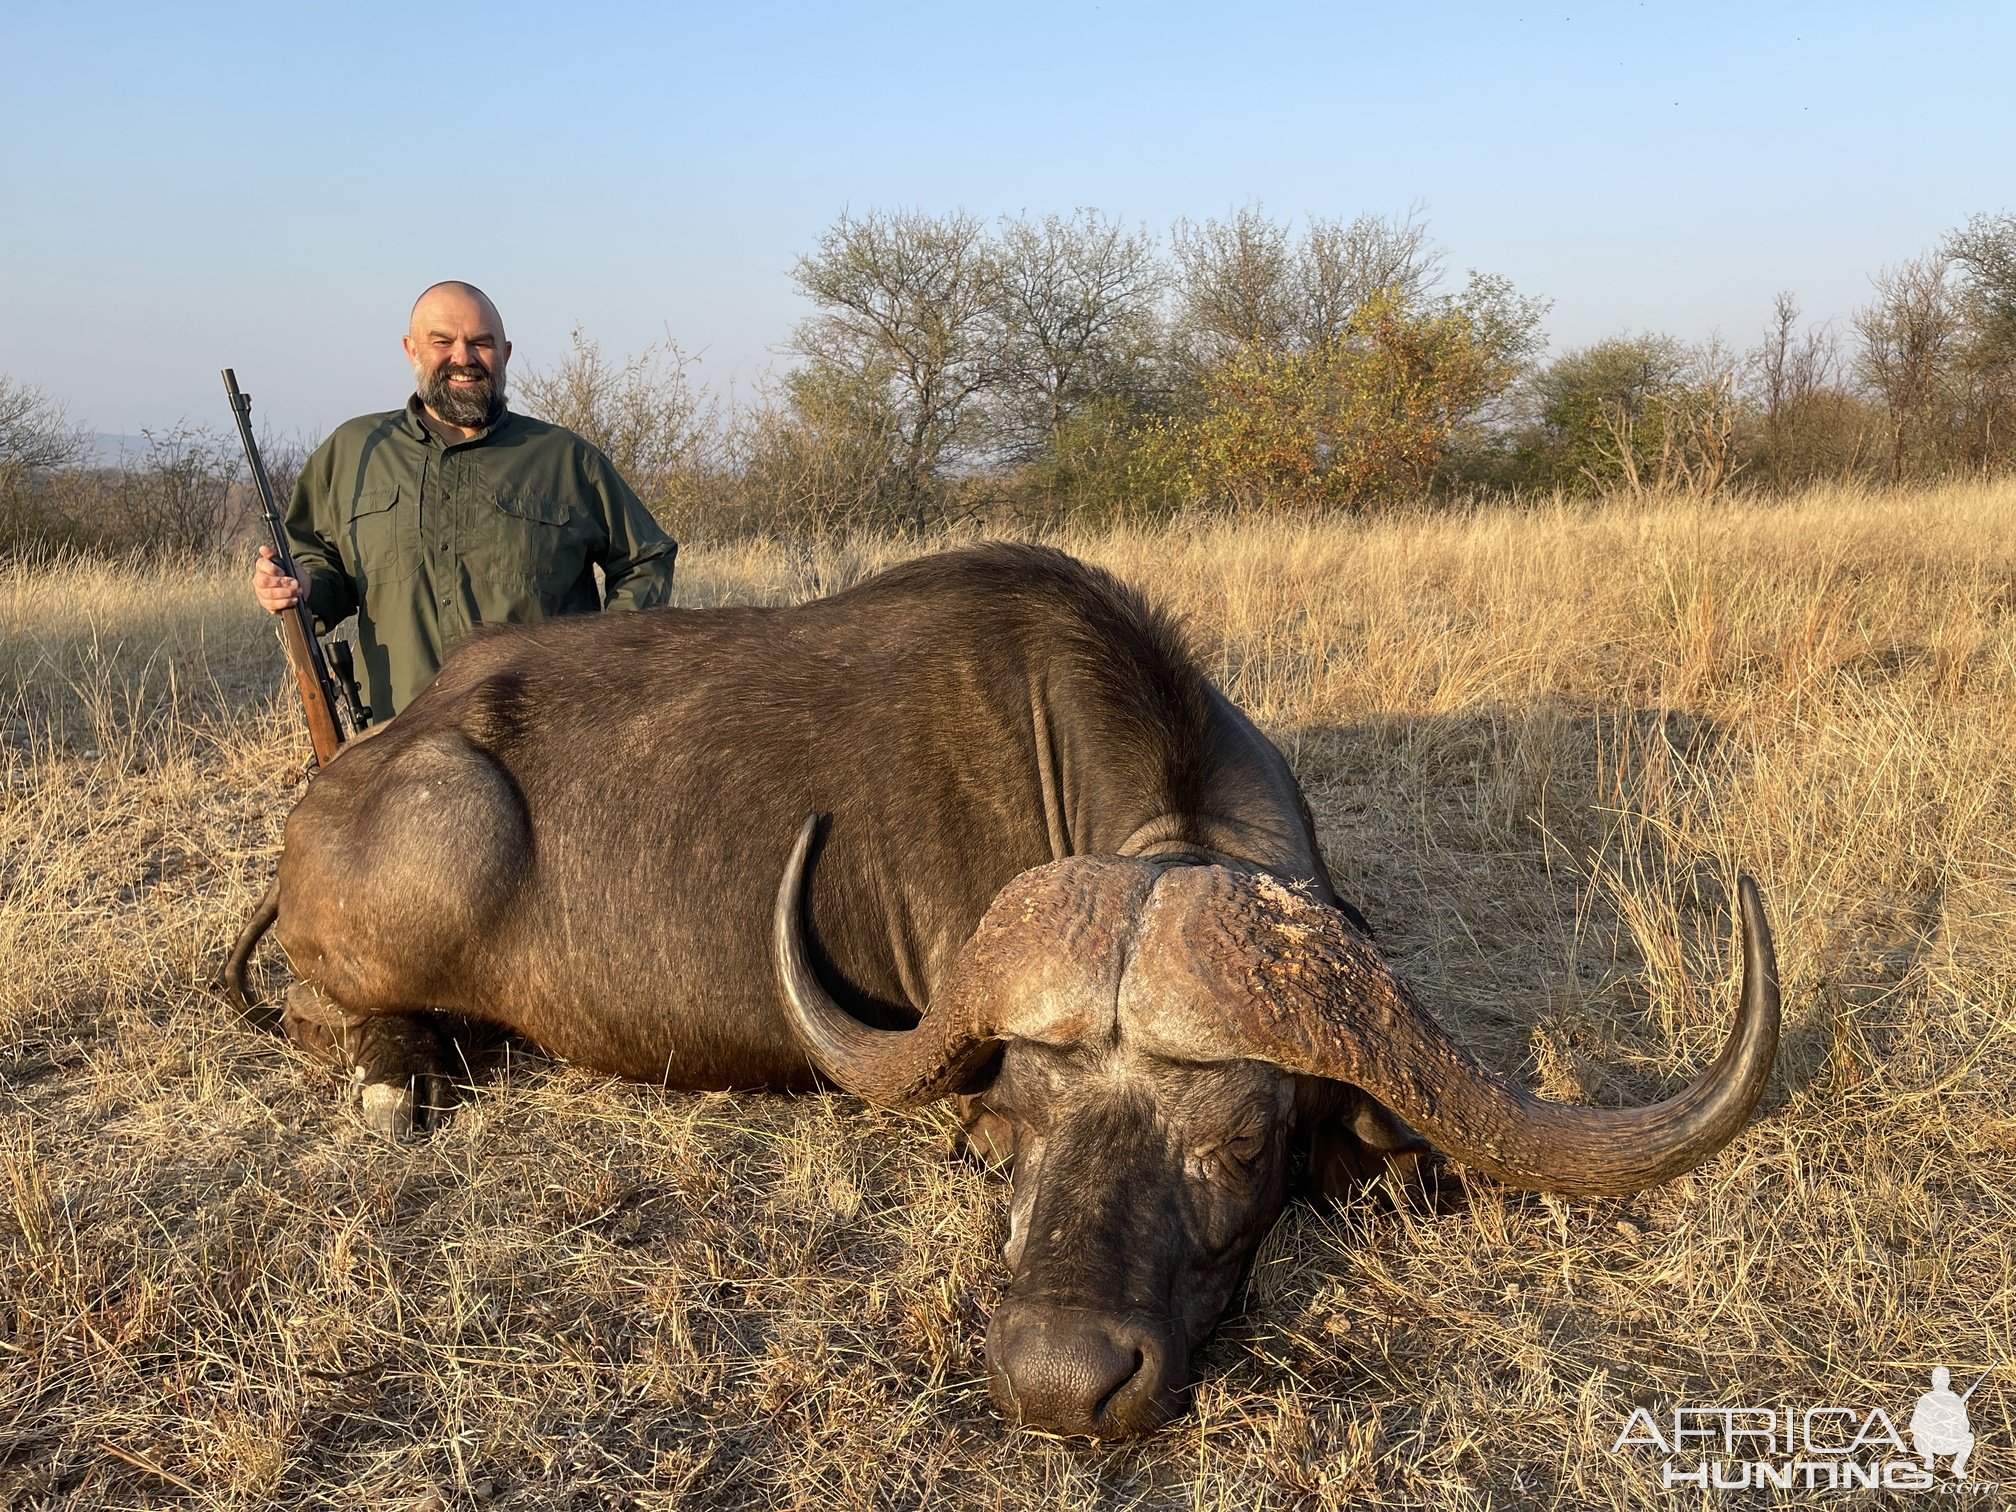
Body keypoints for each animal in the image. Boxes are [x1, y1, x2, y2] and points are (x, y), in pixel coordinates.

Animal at [228, 544, 1782, 1443]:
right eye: (1011, 1137)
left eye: (1238, 1146)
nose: (1056, 1383)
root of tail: (370, 761)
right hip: (444, 832)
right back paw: (398, 1072)